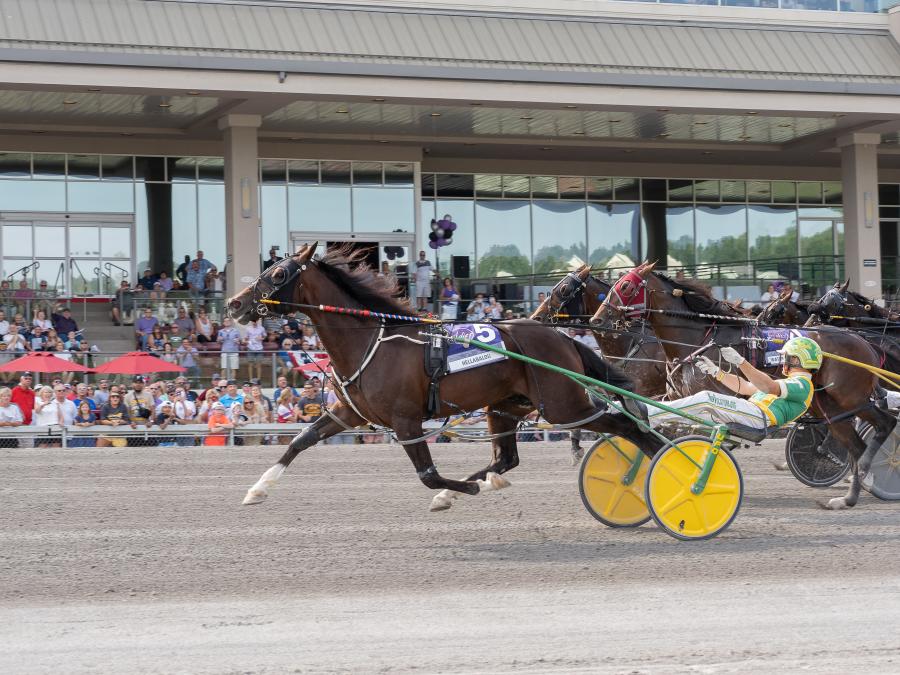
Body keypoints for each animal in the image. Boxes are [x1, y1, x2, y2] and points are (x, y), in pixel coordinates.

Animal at [229, 246, 656, 516]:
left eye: (278, 273)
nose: (235, 303)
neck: (370, 339)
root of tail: (563, 337)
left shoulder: (405, 421)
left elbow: (428, 475)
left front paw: (462, 489)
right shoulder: (350, 413)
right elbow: (300, 441)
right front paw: (257, 489)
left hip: (564, 405)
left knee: (627, 426)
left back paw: (659, 465)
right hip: (505, 406)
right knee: (505, 459)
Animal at [596, 262, 896, 510]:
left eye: (625, 286)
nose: (598, 319)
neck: (694, 340)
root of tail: (864, 342)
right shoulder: (674, 398)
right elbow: (659, 431)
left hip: (852, 398)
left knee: (885, 424)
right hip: (831, 408)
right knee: (856, 445)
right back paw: (849, 497)